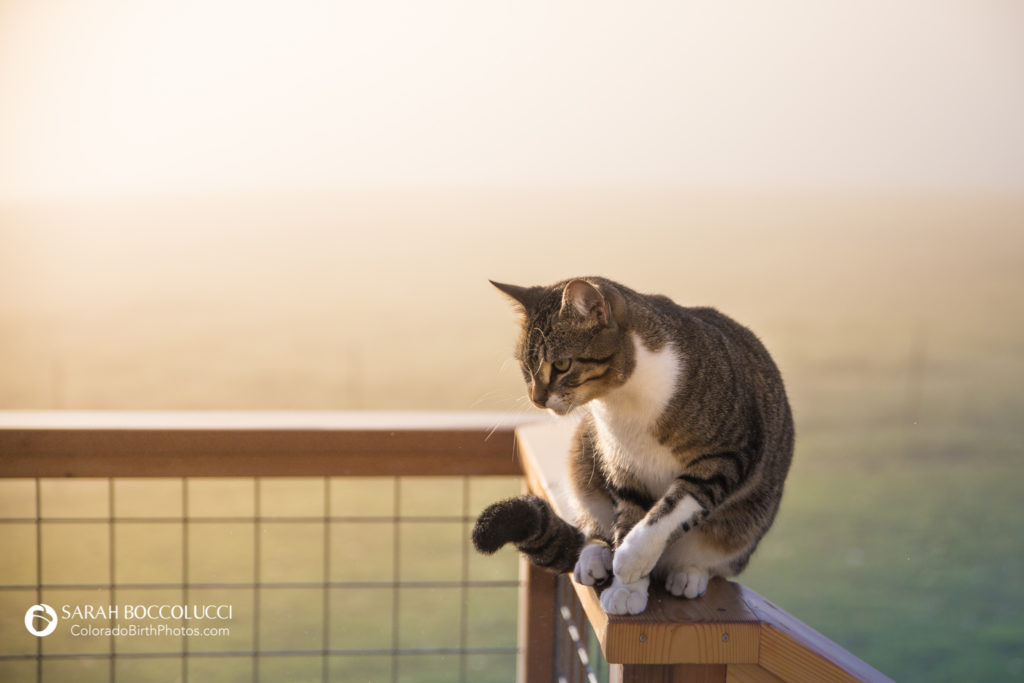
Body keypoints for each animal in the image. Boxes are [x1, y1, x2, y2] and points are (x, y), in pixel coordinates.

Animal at [468, 274, 790, 618]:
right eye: (526, 368)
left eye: (563, 365)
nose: (536, 399)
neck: (623, 401)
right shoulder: (624, 466)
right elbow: (630, 516)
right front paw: (626, 588)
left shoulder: (726, 454)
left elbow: (673, 507)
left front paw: (630, 560)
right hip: (584, 454)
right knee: (594, 528)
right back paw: (596, 557)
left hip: (740, 531)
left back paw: (688, 573)